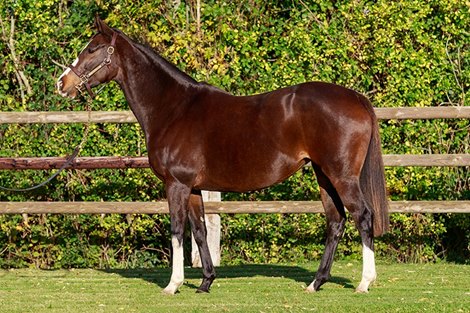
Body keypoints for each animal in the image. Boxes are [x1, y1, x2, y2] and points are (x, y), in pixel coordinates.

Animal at [57, 17, 390, 294]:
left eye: (92, 49)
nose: (62, 83)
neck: (173, 109)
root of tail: (356, 97)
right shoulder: (192, 187)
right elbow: (200, 230)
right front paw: (205, 281)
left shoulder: (175, 184)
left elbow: (177, 230)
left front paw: (173, 284)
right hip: (323, 175)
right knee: (335, 221)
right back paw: (316, 283)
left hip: (342, 175)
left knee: (363, 216)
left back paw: (364, 282)